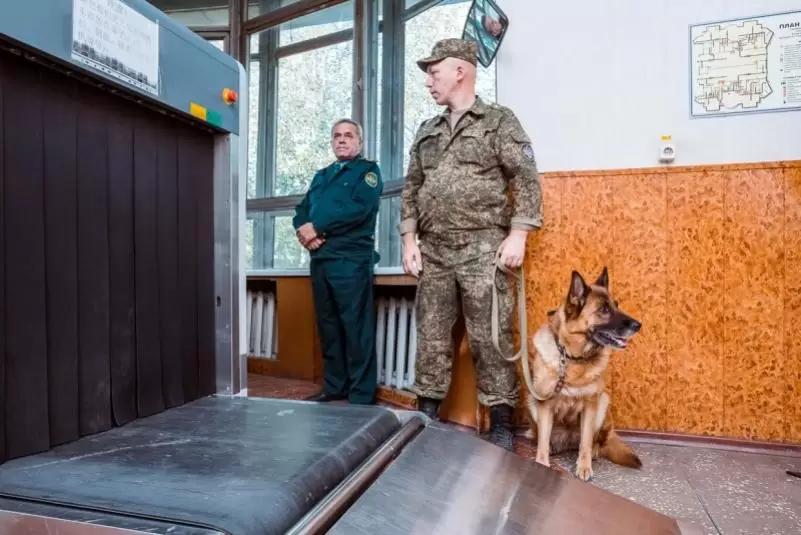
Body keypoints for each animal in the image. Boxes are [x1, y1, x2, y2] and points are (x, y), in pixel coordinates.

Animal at [520, 267, 642, 481]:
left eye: (616, 305)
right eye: (604, 310)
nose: (638, 325)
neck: (572, 358)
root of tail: (567, 440)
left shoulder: (590, 405)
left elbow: (585, 442)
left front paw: (584, 467)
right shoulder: (545, 404)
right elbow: (542, 441)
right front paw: (542, 463)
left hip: (603, 403)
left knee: (594, 442)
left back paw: (592, 451)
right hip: (531, 401)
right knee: (542, 436)